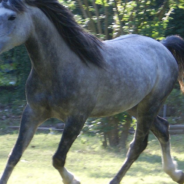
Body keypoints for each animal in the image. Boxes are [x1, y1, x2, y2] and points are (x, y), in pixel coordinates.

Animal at [0, 0, 184, 184]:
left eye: (12, 16)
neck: (59, 68)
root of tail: (163, 46)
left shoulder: (76, 118)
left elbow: (58, 158)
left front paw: (73, 180)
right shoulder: (32, 112)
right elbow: (14, 155)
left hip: (150, 105)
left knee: (138, 145)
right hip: (134, 106)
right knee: (162, 128)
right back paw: (176, 173)